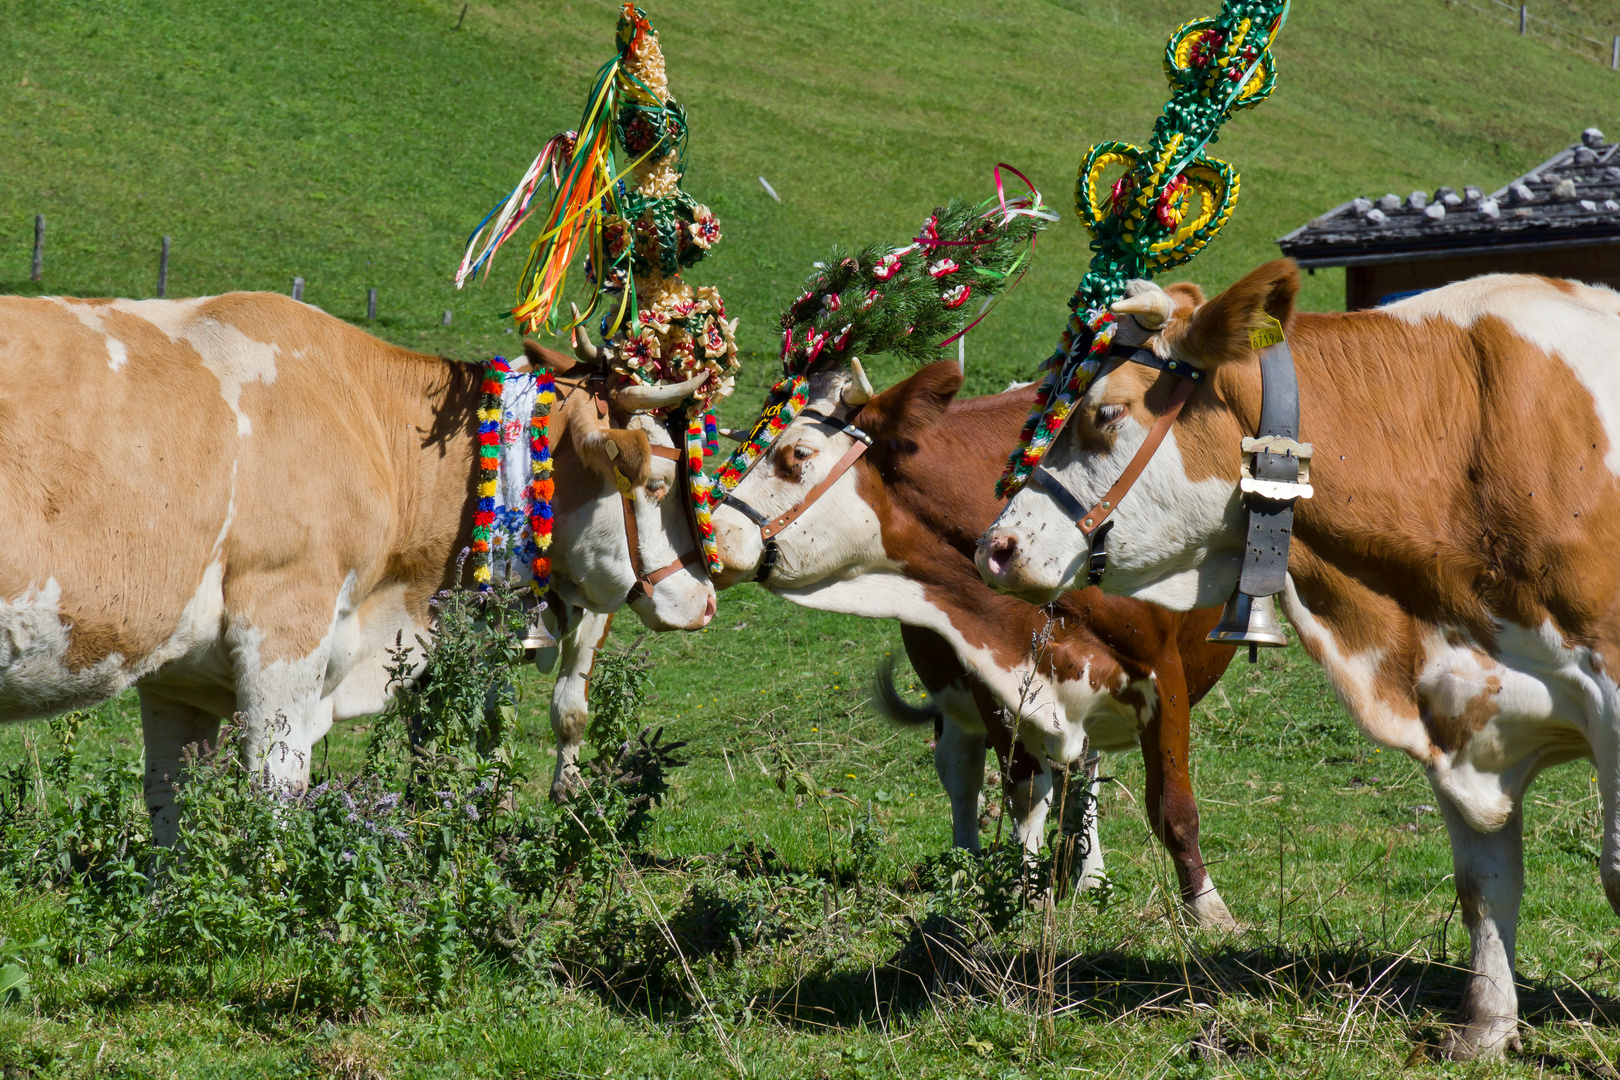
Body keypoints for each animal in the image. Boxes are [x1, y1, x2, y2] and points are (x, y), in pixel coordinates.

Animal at [0, 293, 716, 841]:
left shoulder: (180, 678)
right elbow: (274, 797)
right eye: (657, 482)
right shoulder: (285, 627)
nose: (705, 596)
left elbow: (172, 809)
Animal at [712, 359, 1237, 926]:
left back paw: (1090, 875)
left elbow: (1171, 805)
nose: (710, 537)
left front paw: (1208, 910)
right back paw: (967, 873)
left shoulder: (1163, 673)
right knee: (964, 774)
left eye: (798, 455)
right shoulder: (993, 679)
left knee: (1083, 772)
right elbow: (1023, 793)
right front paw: (1029, 899)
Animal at [972, 259, 1620, 1055]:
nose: (995, 547)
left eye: (1107, 413)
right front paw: (1486, 1032)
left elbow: (1615, 874)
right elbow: (1485, 882)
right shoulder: (1458, 705)